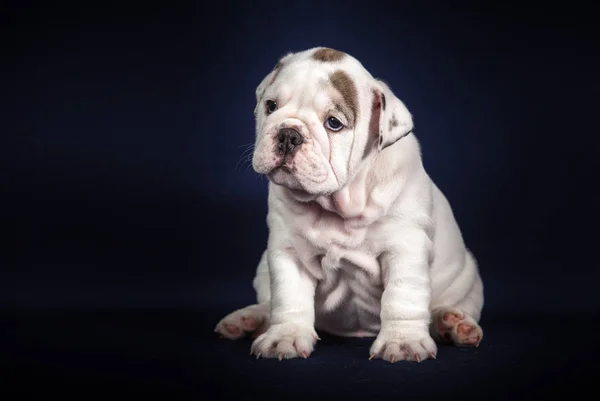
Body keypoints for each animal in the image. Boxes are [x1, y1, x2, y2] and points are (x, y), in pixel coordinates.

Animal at [216, 47, 482, 362]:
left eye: (334, 123)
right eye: (271, 106)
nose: (289, 134)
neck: (340, 203)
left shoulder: (405, 249)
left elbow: (402, 297)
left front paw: (402, 341)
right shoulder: (288, 250)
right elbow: (288, 298)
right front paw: (285, 337)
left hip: (467, 282)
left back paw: (451, 324)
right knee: (268, 302)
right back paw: (247, 320)